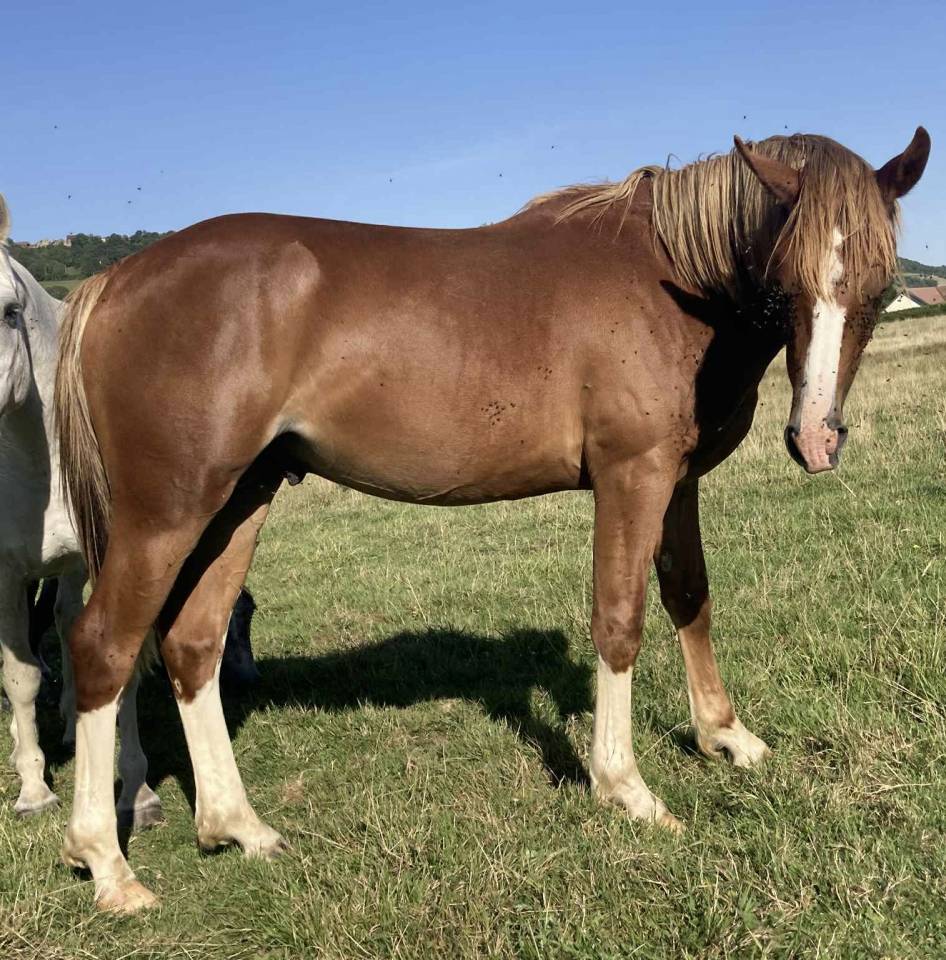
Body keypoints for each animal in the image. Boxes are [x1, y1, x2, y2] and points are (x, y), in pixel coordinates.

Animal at [53, 129, 929, 912]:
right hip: (167, 511)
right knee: (104, 648)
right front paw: (625, 787)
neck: (668, 280)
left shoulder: (676, 483)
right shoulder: (632, 476)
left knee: (192, 644)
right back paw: (108, 866)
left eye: (878, 286)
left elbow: (690, 596)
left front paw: (725, 737)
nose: (816, 440)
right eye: (783, 284)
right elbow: (620, 620)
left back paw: (238, 826)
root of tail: (113, 280)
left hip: (242, 497)